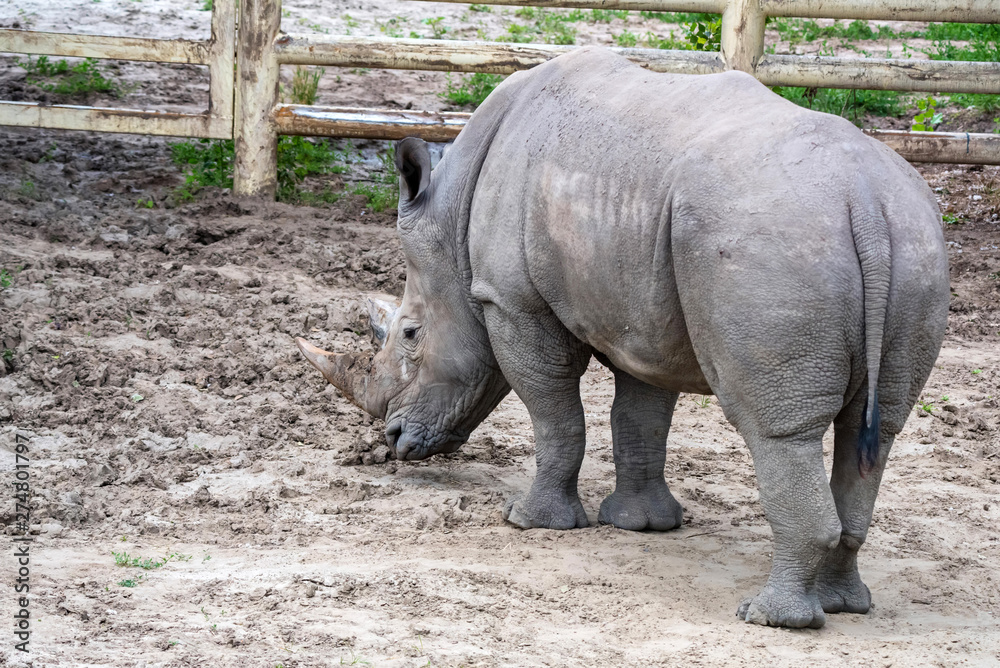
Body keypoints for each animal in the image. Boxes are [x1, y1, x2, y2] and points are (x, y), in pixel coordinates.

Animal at [297, 47, 949, 628]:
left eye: (410, 334)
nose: (392, 440)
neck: (452, 218)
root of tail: (863, 201)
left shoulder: (511, 301)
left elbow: (554, 413)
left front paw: (529, 521)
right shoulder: (643, 310)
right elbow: (641, 415)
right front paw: (643, 525)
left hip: (772, 245)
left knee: (776, 430)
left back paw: (770, 618)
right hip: (912, 241)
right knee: (874, 431)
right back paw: (843, 605)